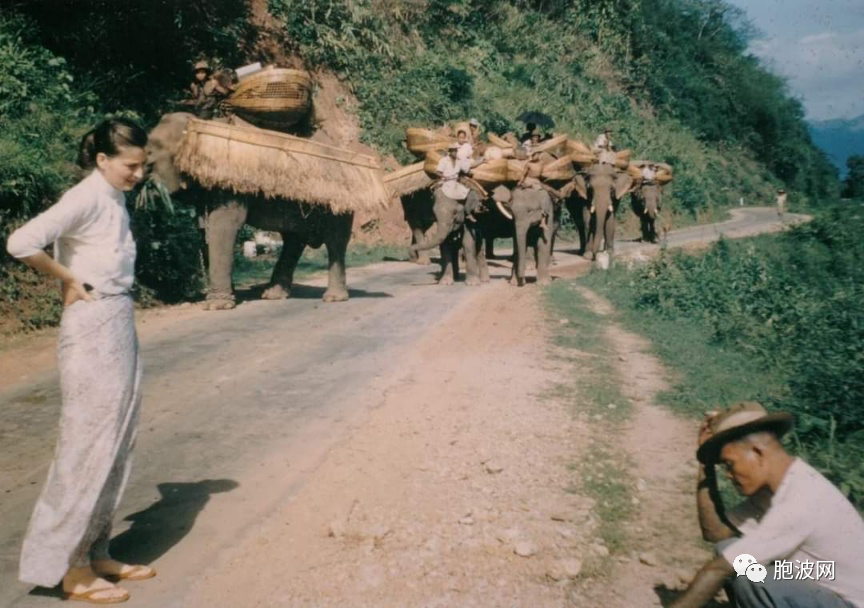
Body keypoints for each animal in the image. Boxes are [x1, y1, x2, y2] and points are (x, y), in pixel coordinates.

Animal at [147, 114, 352, 312]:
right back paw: (273, 295)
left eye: (150, 160)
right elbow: (206, 230)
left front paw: (217, 306)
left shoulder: (230, 182)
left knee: (335, 240)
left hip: (339, 201)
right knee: (294, 240)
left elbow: (222, 227)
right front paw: (228, 296)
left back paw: (333, 298)